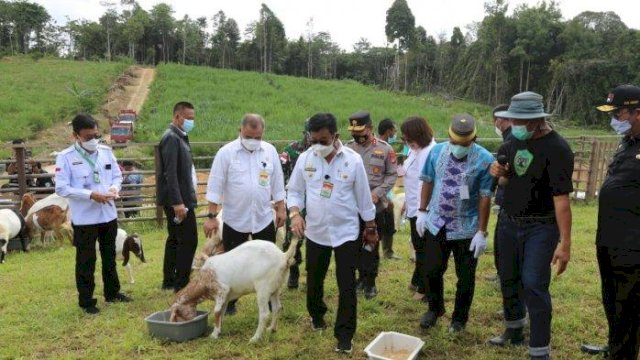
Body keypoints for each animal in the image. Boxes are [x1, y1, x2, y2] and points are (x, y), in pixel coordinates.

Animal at [170, 238, 300, 342]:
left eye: (178, 313)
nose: (177, 324)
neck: (203, 280)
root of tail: (283, 256)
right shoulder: (225, 297)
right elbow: (221, 312)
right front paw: (218, 330)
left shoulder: (222, 289)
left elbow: (216, 311)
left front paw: (213, 335)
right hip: (275, 288)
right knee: (277, 307)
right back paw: (271, 329)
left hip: (263, 288)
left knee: (264, 314)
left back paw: (255, 338)